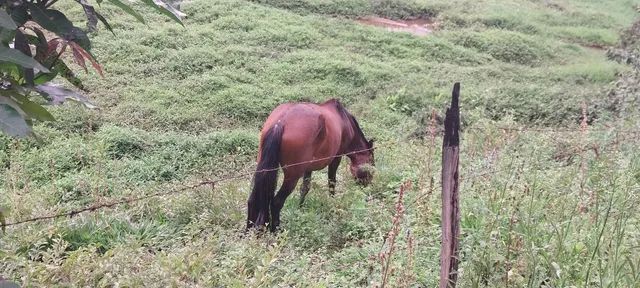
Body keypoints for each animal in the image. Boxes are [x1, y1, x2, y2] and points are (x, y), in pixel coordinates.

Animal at [245, 99, 376, 232]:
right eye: (372, 165)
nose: (367, 187)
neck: (344, 120)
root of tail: (280, 122)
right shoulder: (336, 158)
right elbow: (331, 183)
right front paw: (333, 204)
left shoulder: (308, 167)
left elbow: (305, 188)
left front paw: (300, 208)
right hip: (292, 176)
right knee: (276, 202)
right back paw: (276, 230)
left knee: (252, 200)